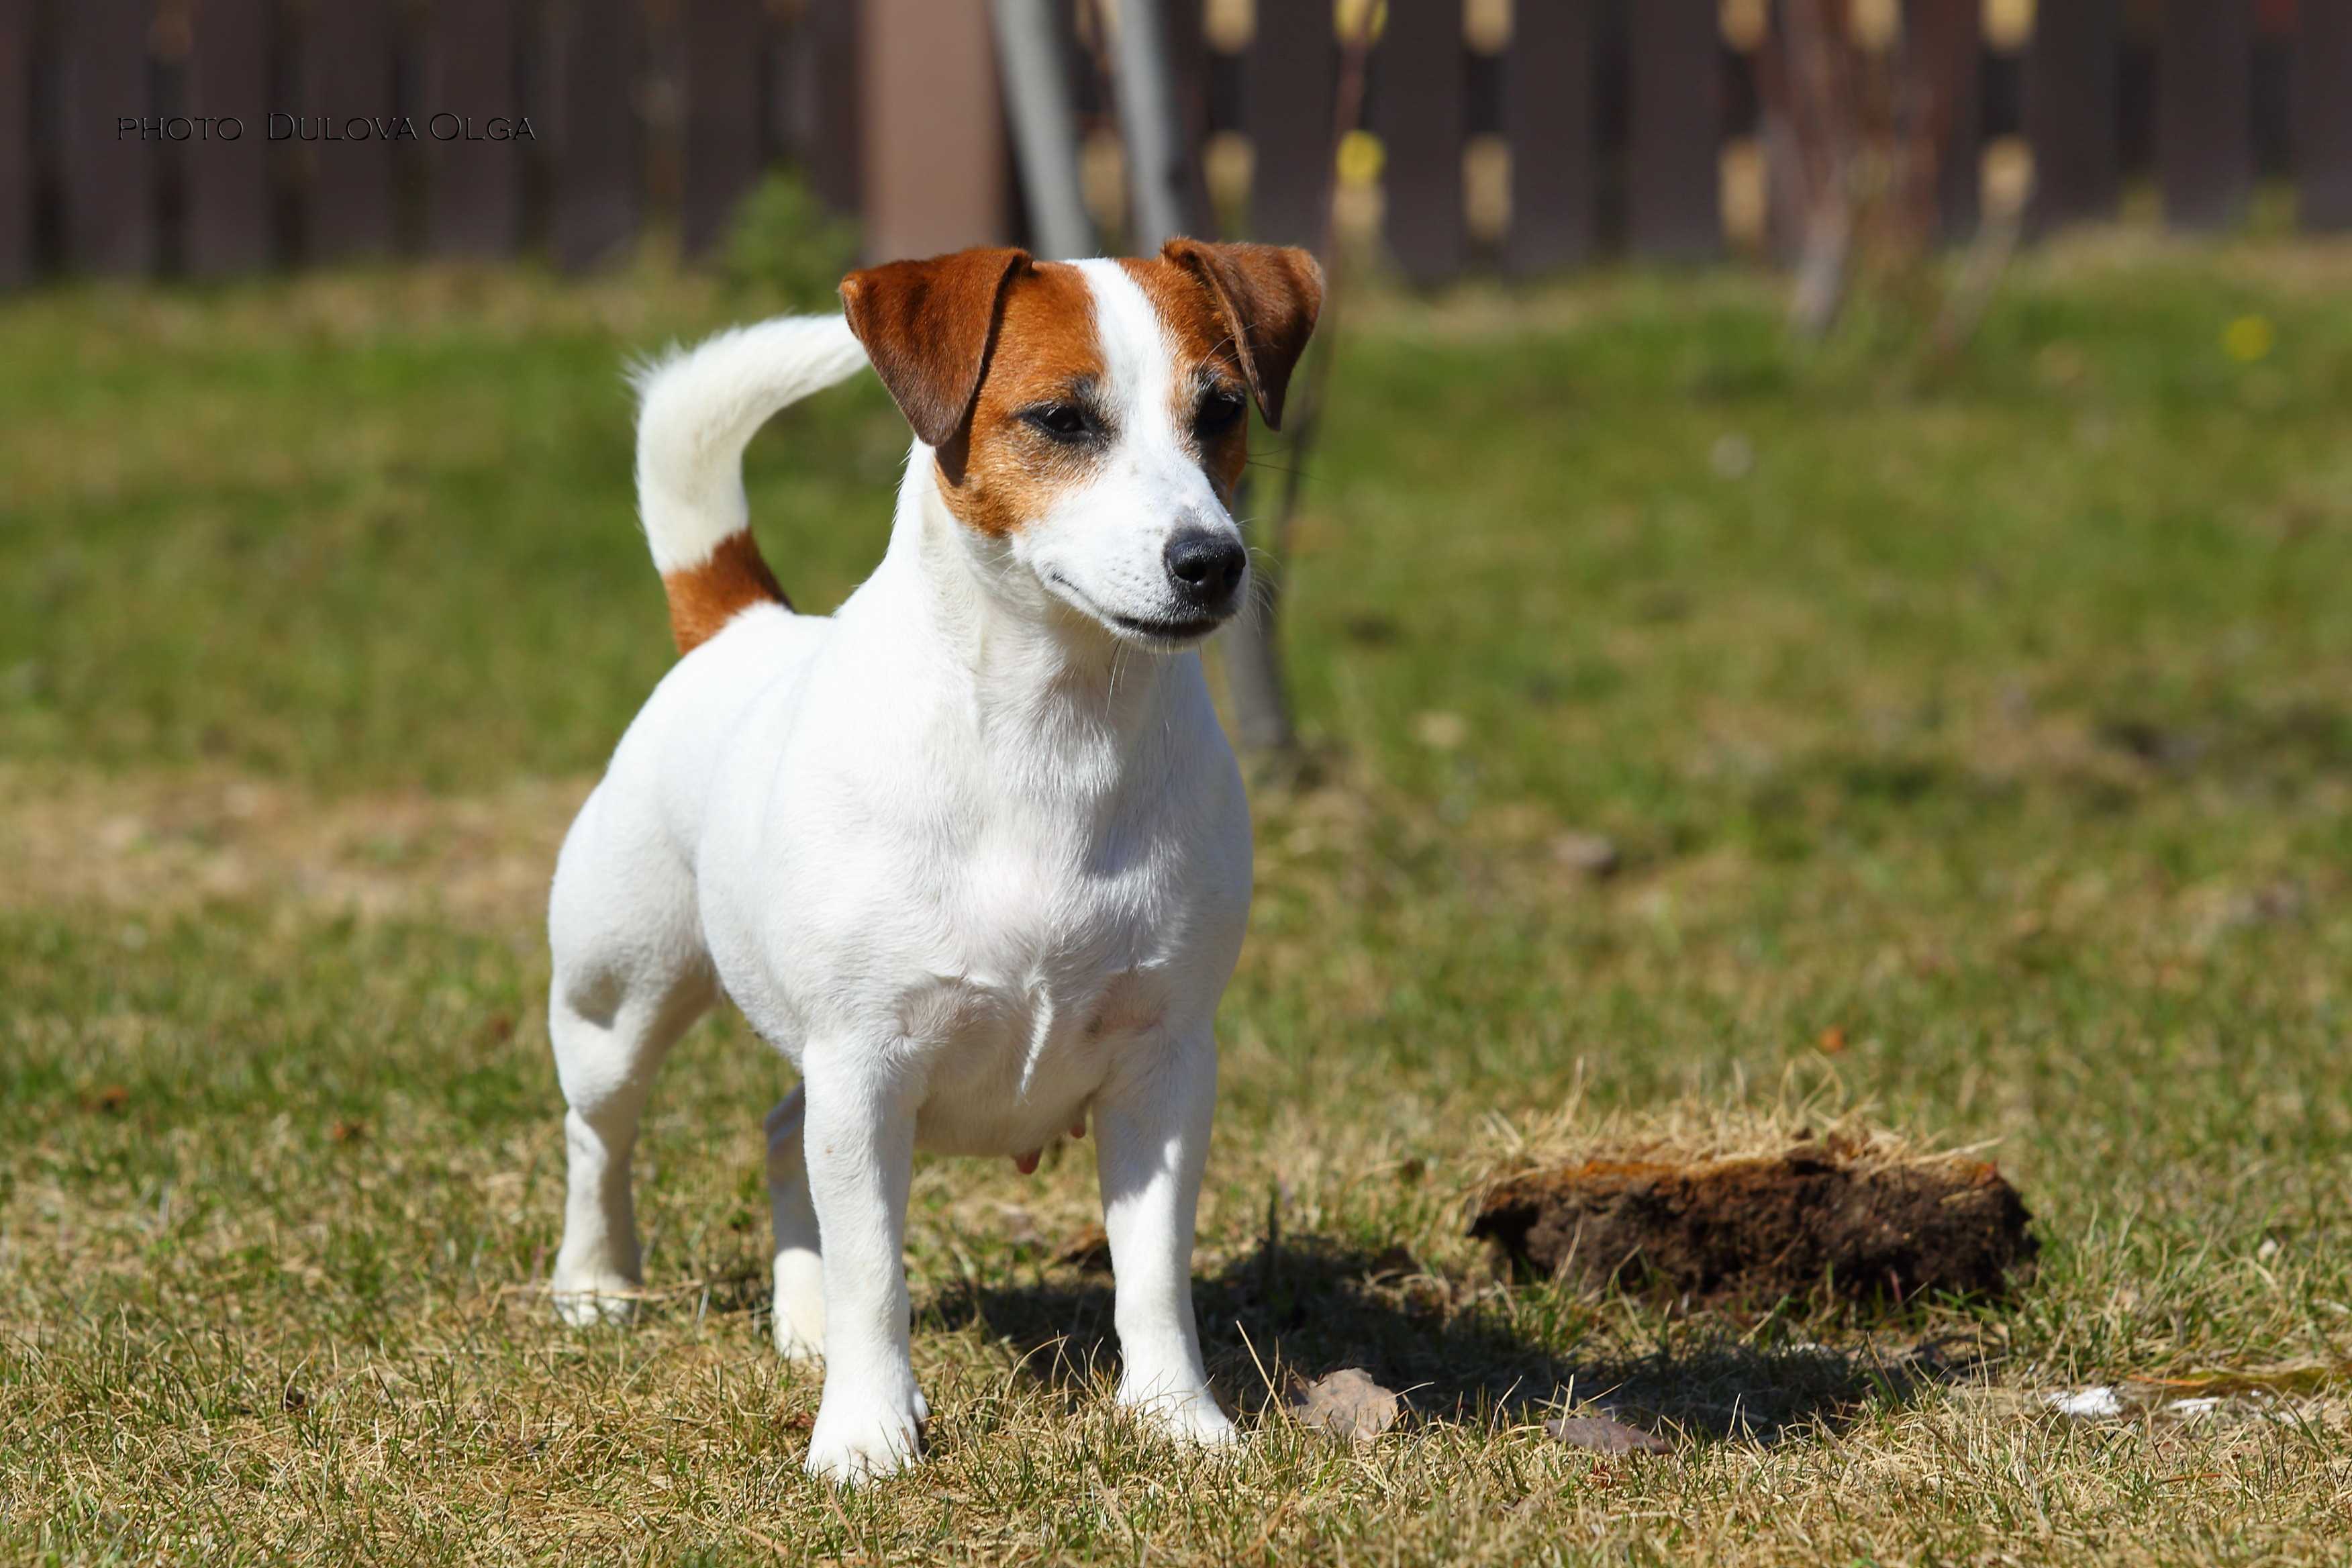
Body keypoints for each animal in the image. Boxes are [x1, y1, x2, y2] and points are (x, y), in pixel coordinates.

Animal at [545, 236, 1326, 1485]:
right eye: (1061, 418)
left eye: (1220, 410)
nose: (1211, 561)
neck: (1051, 735)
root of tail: (740, 625)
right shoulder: (865, 1067)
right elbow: (877, 1271)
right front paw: (868, 1435)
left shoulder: (1163, 1068)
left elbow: (1153, 1271)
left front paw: (1177, 1420)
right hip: (618, 1002)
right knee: (599, 1139)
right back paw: (596, 1287)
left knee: (781, 1135)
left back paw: (802, 1320)